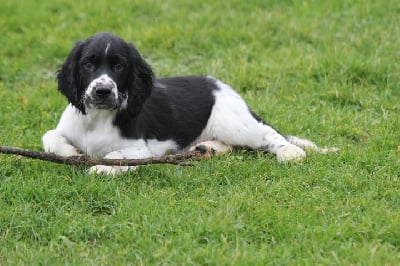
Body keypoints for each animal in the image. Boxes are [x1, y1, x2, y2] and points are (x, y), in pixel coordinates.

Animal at [43, 32, 338, 175]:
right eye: (88, 64)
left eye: (119, 66)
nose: (103, 91)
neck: (96, 118)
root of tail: (220, 85)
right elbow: (49, 137)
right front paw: (71, 152)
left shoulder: (140, 149)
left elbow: (115, 155)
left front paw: (102, 168)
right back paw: (208, 148)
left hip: (235, 124)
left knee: (269, 134)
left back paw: (290, 152)